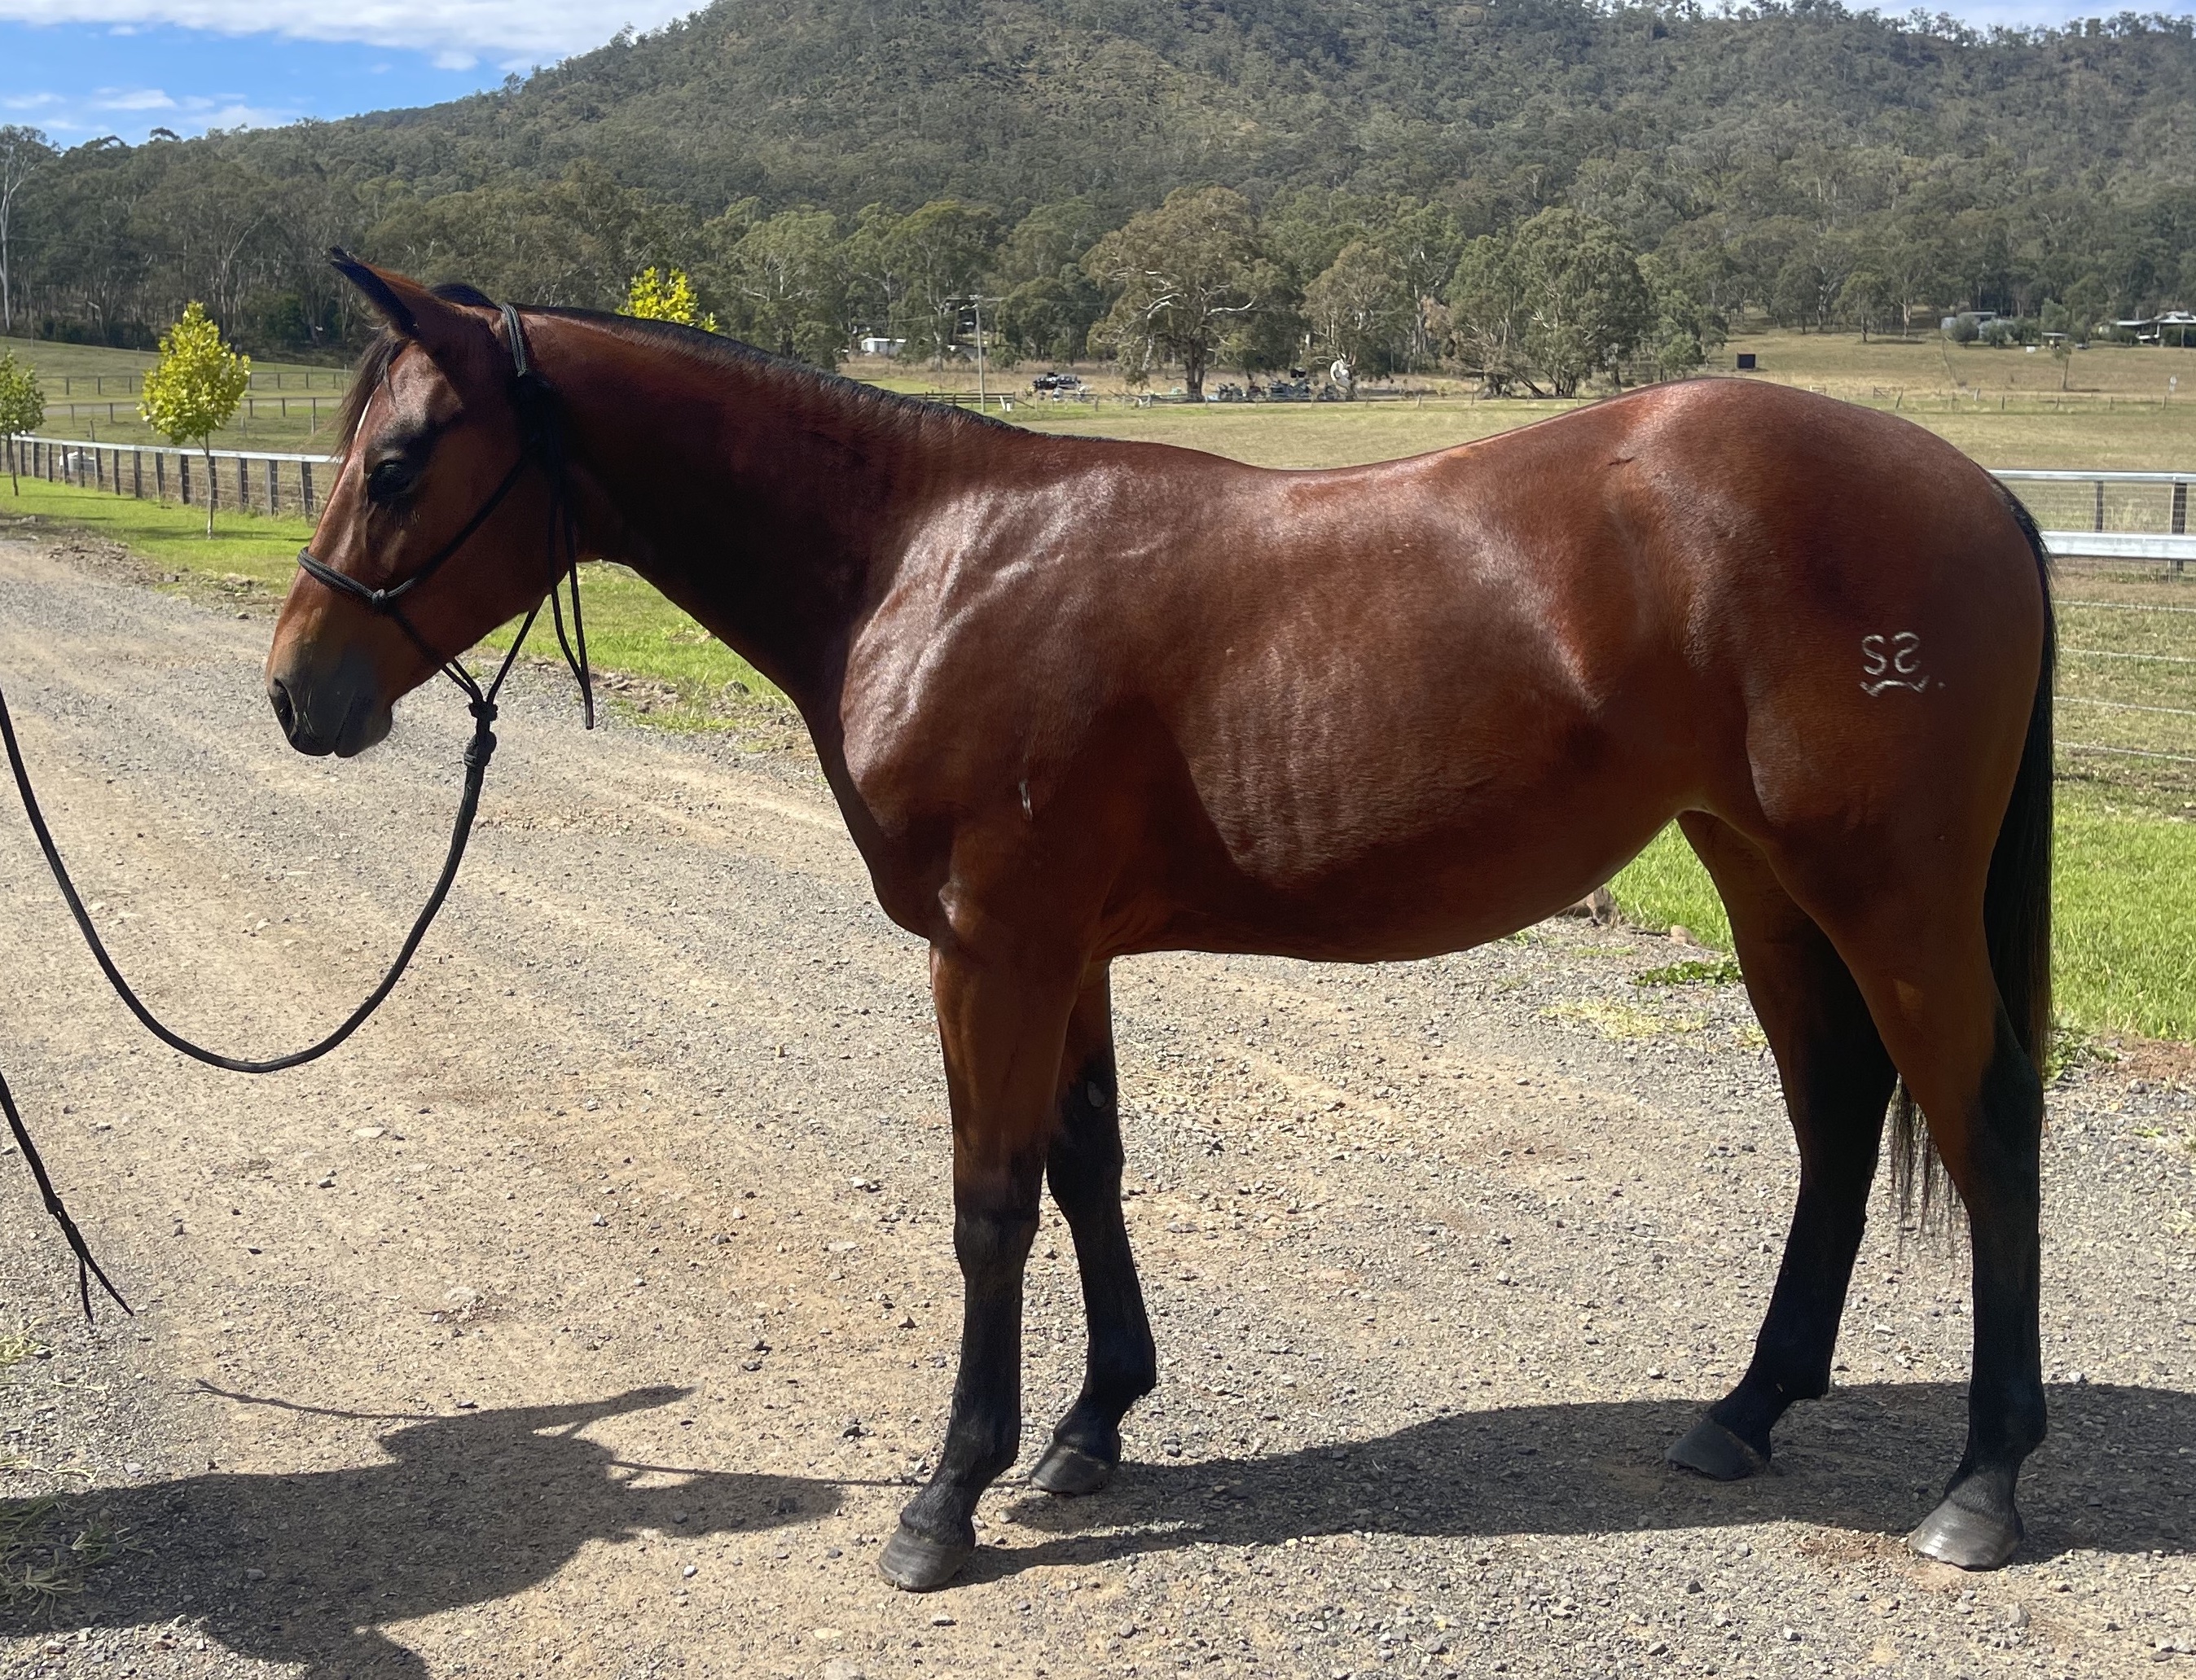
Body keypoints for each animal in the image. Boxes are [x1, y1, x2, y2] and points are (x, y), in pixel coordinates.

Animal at [266, 256, 2054, 1592]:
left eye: (401, 460)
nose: (296, 691)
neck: (930, 559)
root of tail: (1982, 494)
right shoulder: (1066, 949)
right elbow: (1088, 1164)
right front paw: (1089, 1429)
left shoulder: (990, 945)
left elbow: (992, 1204)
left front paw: (947, 1493)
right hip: (1760, 873)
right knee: (1839, 1114)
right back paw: (1744, 1410)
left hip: (1885, 890)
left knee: (1982, 1129)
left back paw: (1981, 1481)